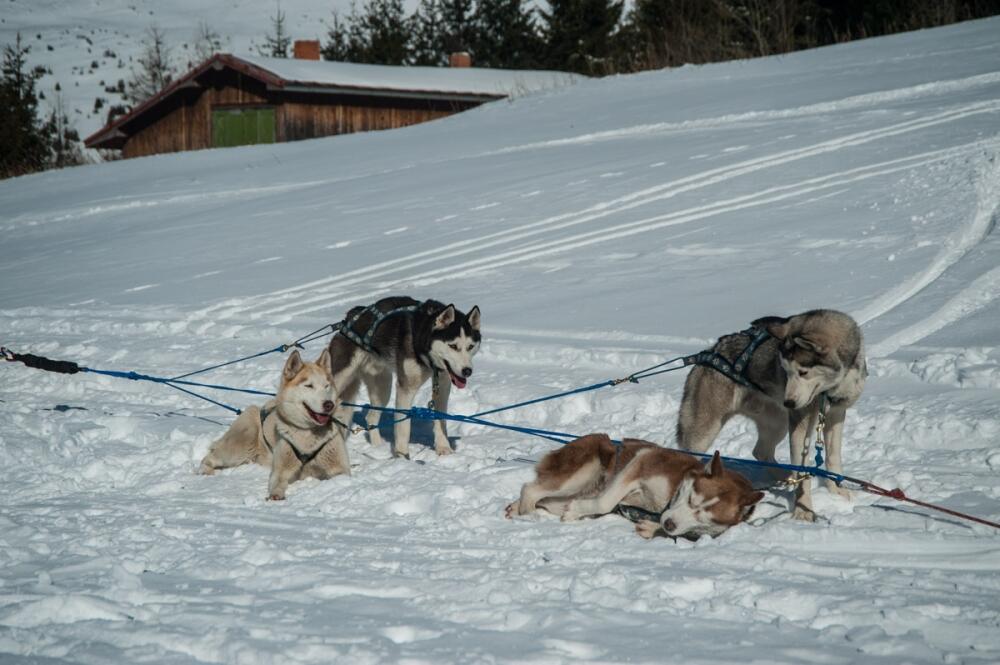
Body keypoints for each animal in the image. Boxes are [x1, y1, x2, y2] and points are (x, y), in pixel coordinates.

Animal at [197, 348, 350, 498]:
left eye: (326, 386)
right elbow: (277, 482)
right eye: (309, 386)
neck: (308, 434)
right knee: (208, 458)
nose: (329, 404)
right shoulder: (280, 470)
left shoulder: (340, 469)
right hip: (241, 445)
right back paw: (205, 471)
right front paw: (276, 494)